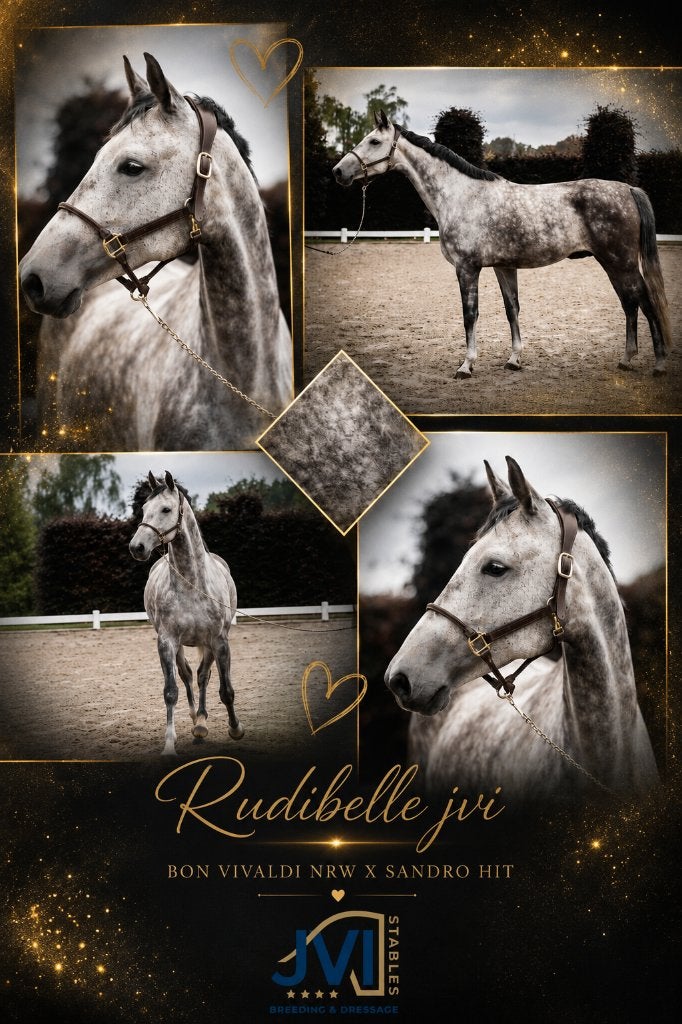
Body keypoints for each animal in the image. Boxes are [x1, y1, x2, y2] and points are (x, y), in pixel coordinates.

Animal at [129, 470, 243, 757]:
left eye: (166, 509)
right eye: (144, 509)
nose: (136, 547)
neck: (192, 583)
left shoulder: (219, 641)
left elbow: (225, 689)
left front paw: (236, 728)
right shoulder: (167, 642)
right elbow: (171, 691)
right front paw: (169, 745)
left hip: (209, 645)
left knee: (203, 676)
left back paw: (202, 723)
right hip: (180, 646)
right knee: (189, 675)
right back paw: (196, 720)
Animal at [333, 110, 671, 380]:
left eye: (374, 142)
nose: (338, 171)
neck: (461, 196)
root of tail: (627, 189)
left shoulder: (467, 268)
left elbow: (470, 315)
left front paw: (466, 366)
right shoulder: (503, 267)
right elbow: (512, 310)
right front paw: (514, 360)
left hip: (620, 262)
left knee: (644, 301)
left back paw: (659, 364)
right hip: (613, 264)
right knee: (630, 304)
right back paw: (626, 360)